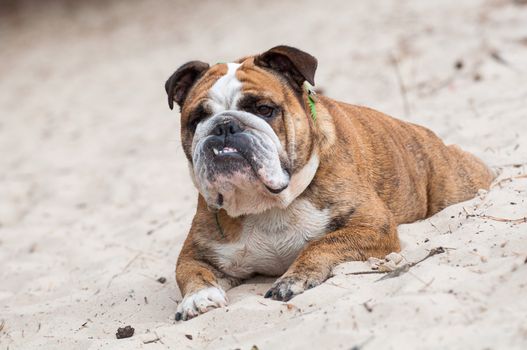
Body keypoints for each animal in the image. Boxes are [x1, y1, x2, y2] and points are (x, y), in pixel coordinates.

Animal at [165, 45, 496, 320]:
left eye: (264, 109)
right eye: (196, 119)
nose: (224, 127)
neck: (269, 205)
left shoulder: (372, 226)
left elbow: (321, 244)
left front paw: (293, 279)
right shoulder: (197, 251)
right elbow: (190, 272)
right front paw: (199, 298)